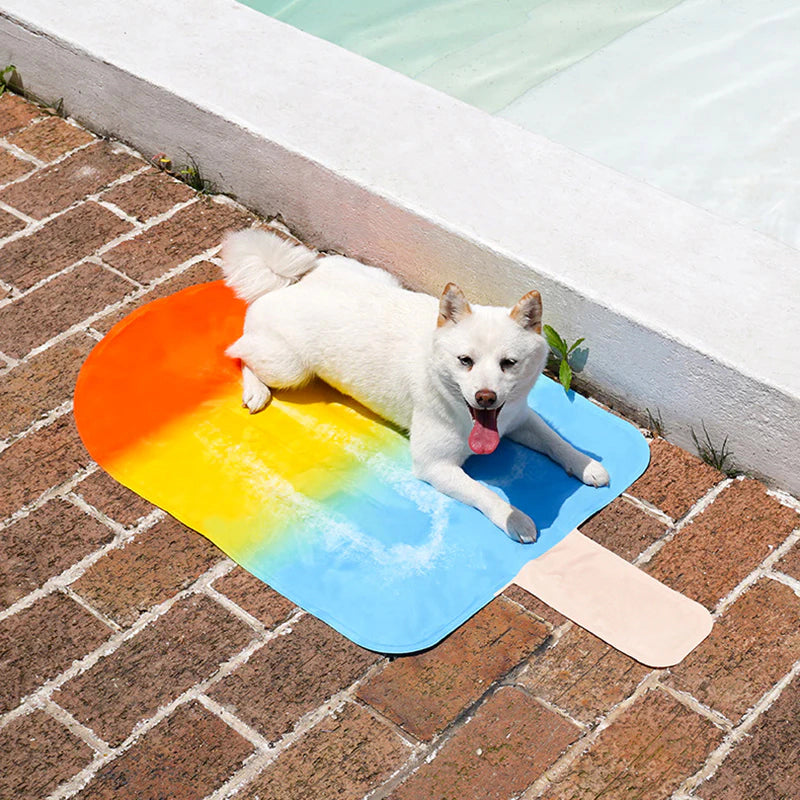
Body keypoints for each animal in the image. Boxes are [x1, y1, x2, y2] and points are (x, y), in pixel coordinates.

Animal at [222, 227, 608, 544]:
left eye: (508, 363)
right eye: (465, 361)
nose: (485, 397)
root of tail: (290, 285)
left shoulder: (520, 419)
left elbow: (556, 441)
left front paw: (585, 463)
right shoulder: (434, 465)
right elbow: (485, 494)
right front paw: (514, 519)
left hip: (376, 278)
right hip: (289, 368)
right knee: (239, 350)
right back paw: (255, 390)